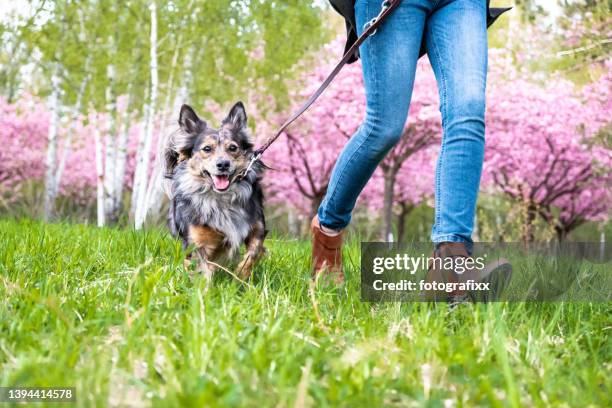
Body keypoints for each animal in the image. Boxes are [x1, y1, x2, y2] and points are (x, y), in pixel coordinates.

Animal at [163, 102, 266, 280]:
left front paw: (240, 276)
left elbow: (254, 253)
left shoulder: (257, 226)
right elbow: (202, 270)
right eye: (207, 149)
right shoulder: (196, 242)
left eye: (233, 148)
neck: (221, 198)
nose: (223, 164)